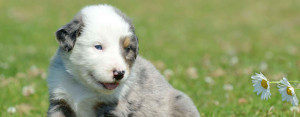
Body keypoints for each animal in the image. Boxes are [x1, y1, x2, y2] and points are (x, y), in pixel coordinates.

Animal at [47, 4, 199, 116]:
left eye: (127, 48)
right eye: (98, 47)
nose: (119, 74)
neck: (83, 87)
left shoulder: (113, 107)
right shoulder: (60, 102)